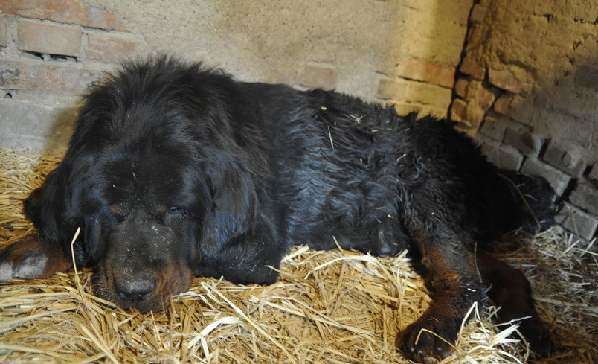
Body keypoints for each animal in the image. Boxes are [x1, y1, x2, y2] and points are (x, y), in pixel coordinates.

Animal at [0, 57, 556, 362]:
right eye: (109, 209)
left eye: (177, 211)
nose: (134, 291)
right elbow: (62, 229)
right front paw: (24, 254)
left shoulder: (252, 252)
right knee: (498, 273)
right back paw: (534, 332)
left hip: (430, 200)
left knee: (462, 279)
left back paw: (431, 335)